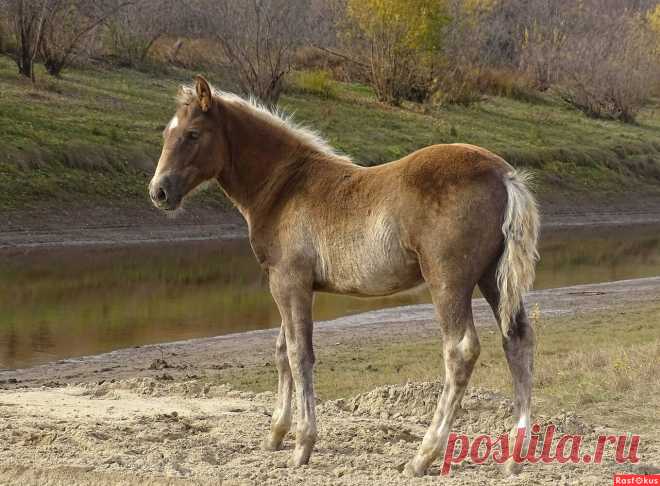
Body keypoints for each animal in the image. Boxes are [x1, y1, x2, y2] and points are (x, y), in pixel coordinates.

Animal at [152, 76, 540, 474]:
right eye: (167, 132)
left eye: (193, 134)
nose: (159, 191)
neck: (283, 186)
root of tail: (504, 175)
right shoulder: (291, 284)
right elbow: (281, 350)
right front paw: (275, 435)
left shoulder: (288, 281)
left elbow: (298, 354)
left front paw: (302, 446)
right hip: (492, 278)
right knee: (518, 341)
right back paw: (515, 457)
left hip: (448, 280)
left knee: (460, 350)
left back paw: (422, 456)